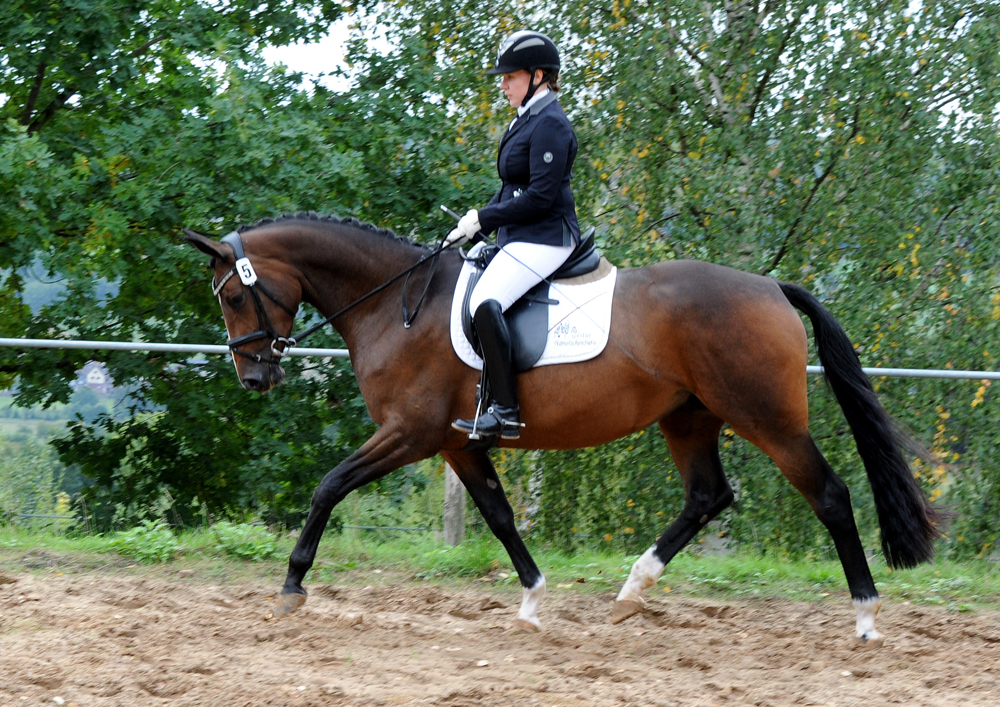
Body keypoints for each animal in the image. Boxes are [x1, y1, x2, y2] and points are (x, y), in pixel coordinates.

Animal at [186, 212, 936, 648]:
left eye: (234, 295)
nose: (253, 379)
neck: (398, 304)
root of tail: (771, 287)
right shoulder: (458, 441)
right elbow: (498, 515)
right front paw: (531, 601)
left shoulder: (412, 433)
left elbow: (329, 485)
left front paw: (292, 587)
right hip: (688, 417)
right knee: (707, 496)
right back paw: (632, 592)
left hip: (768, 420)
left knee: (830, 496)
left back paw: (866, 617)